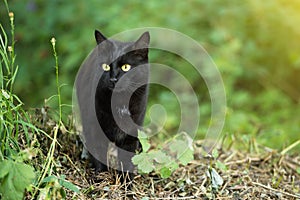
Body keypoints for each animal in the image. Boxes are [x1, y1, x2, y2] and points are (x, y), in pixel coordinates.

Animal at [75, 29, 149, 175]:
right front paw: (101, 176)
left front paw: (126, 180)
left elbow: (127, 158)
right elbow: (98, 153)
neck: (119, 101)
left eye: (126, 67)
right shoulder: (94, 128)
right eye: (106, 66)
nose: (113, 79)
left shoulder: (131, 132)